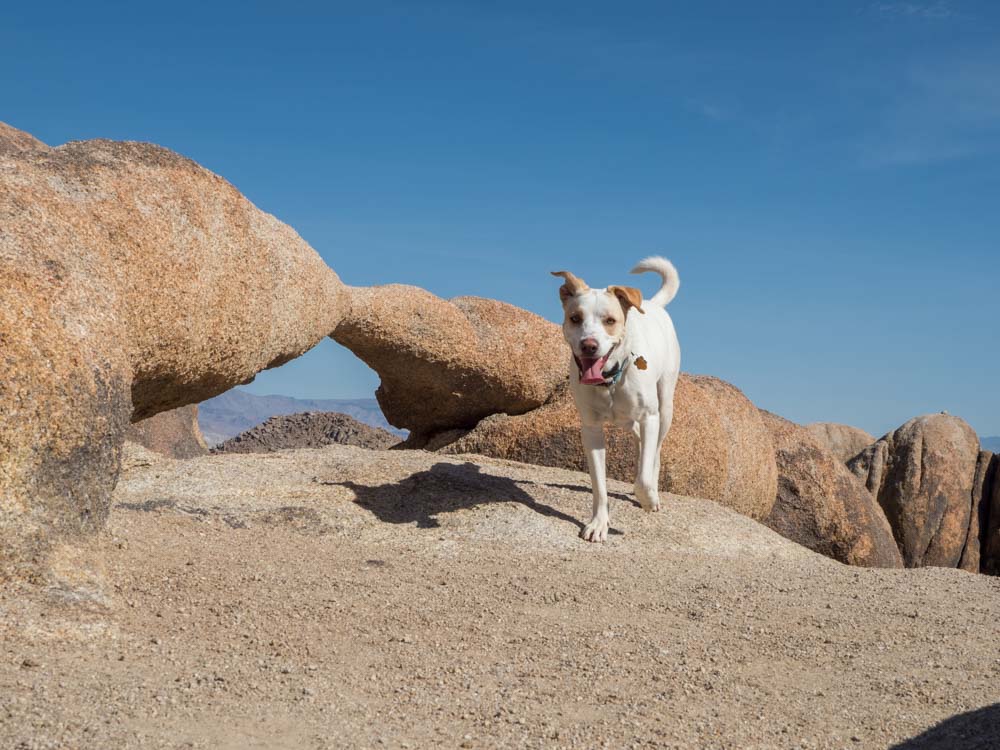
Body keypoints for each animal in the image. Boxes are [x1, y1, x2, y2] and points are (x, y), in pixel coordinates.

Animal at [552, 258, 684, 540]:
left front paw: (648, 499)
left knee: (655, 452)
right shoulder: (591, 430)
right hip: (628, 420)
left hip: (665, 407)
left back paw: (653, 489)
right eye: (575, 318)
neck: (608, 381)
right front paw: (599, 524)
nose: (589, 345)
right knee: (639, 440)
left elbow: (644, 478)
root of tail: (653, 304)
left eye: (610, 320)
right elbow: (599, 486)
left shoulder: (649, 417)